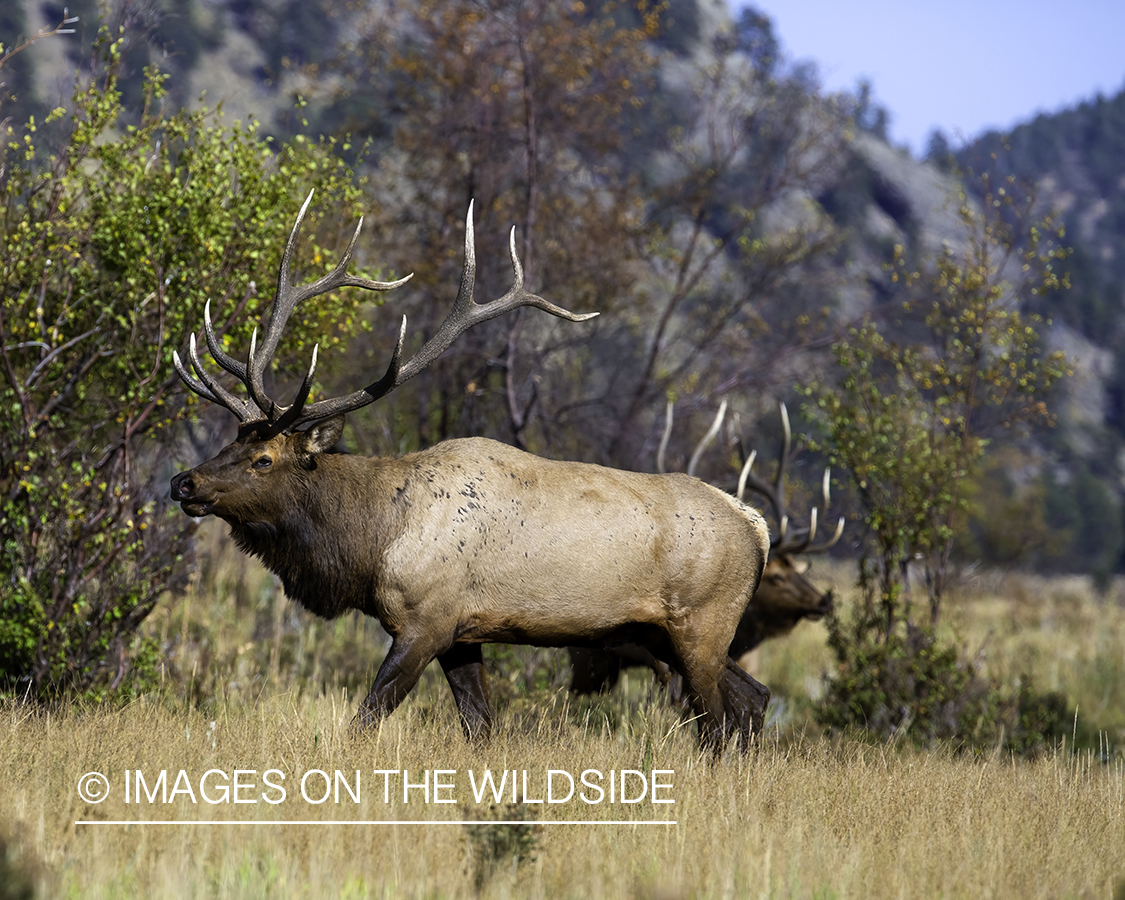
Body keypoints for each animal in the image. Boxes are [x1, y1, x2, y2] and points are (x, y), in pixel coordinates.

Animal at [168, 194, 774, 751]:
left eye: (264, 459)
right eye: (231, 440)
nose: (183, 482)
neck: (372, 542)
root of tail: (758, 527)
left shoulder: (426, 620)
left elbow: (366, 718)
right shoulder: (463, 633)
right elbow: (479, 727)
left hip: (703, 624)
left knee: (718, 718)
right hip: (660, 634)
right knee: (754, 696)